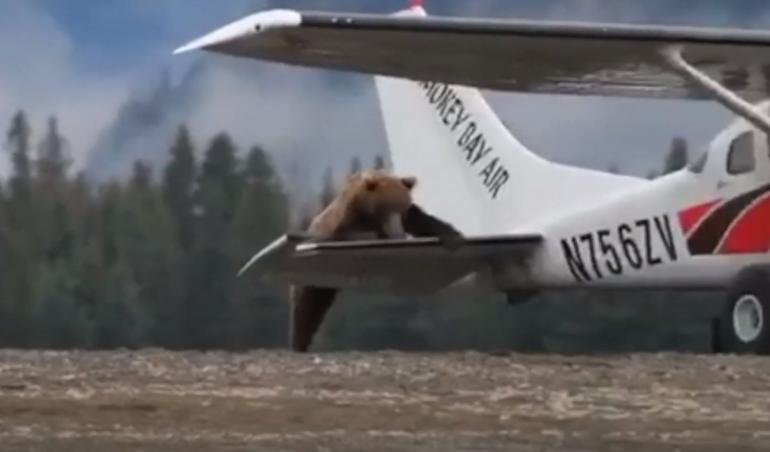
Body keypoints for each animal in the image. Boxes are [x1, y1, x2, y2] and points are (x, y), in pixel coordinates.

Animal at [290, 170, 462, 354]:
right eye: (386, 207)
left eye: (401, 208)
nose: (398, 234)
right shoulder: (346, 221)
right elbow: (354, 234)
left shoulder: (406, 216)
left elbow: (423, 220)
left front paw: (453, 237)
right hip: (306, 278)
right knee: (305, 310)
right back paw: (299, 344)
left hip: (324, 289)